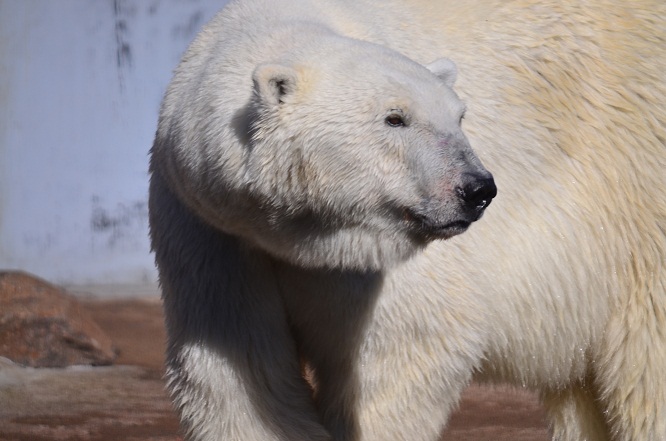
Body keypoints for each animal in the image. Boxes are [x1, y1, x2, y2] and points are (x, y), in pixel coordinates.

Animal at [148, 0, 660, 440]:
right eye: (395, 118)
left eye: (459, 115)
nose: (478, 189)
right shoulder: (214, 230)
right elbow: (240, 369)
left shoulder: (383, 258)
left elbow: (396, 356)